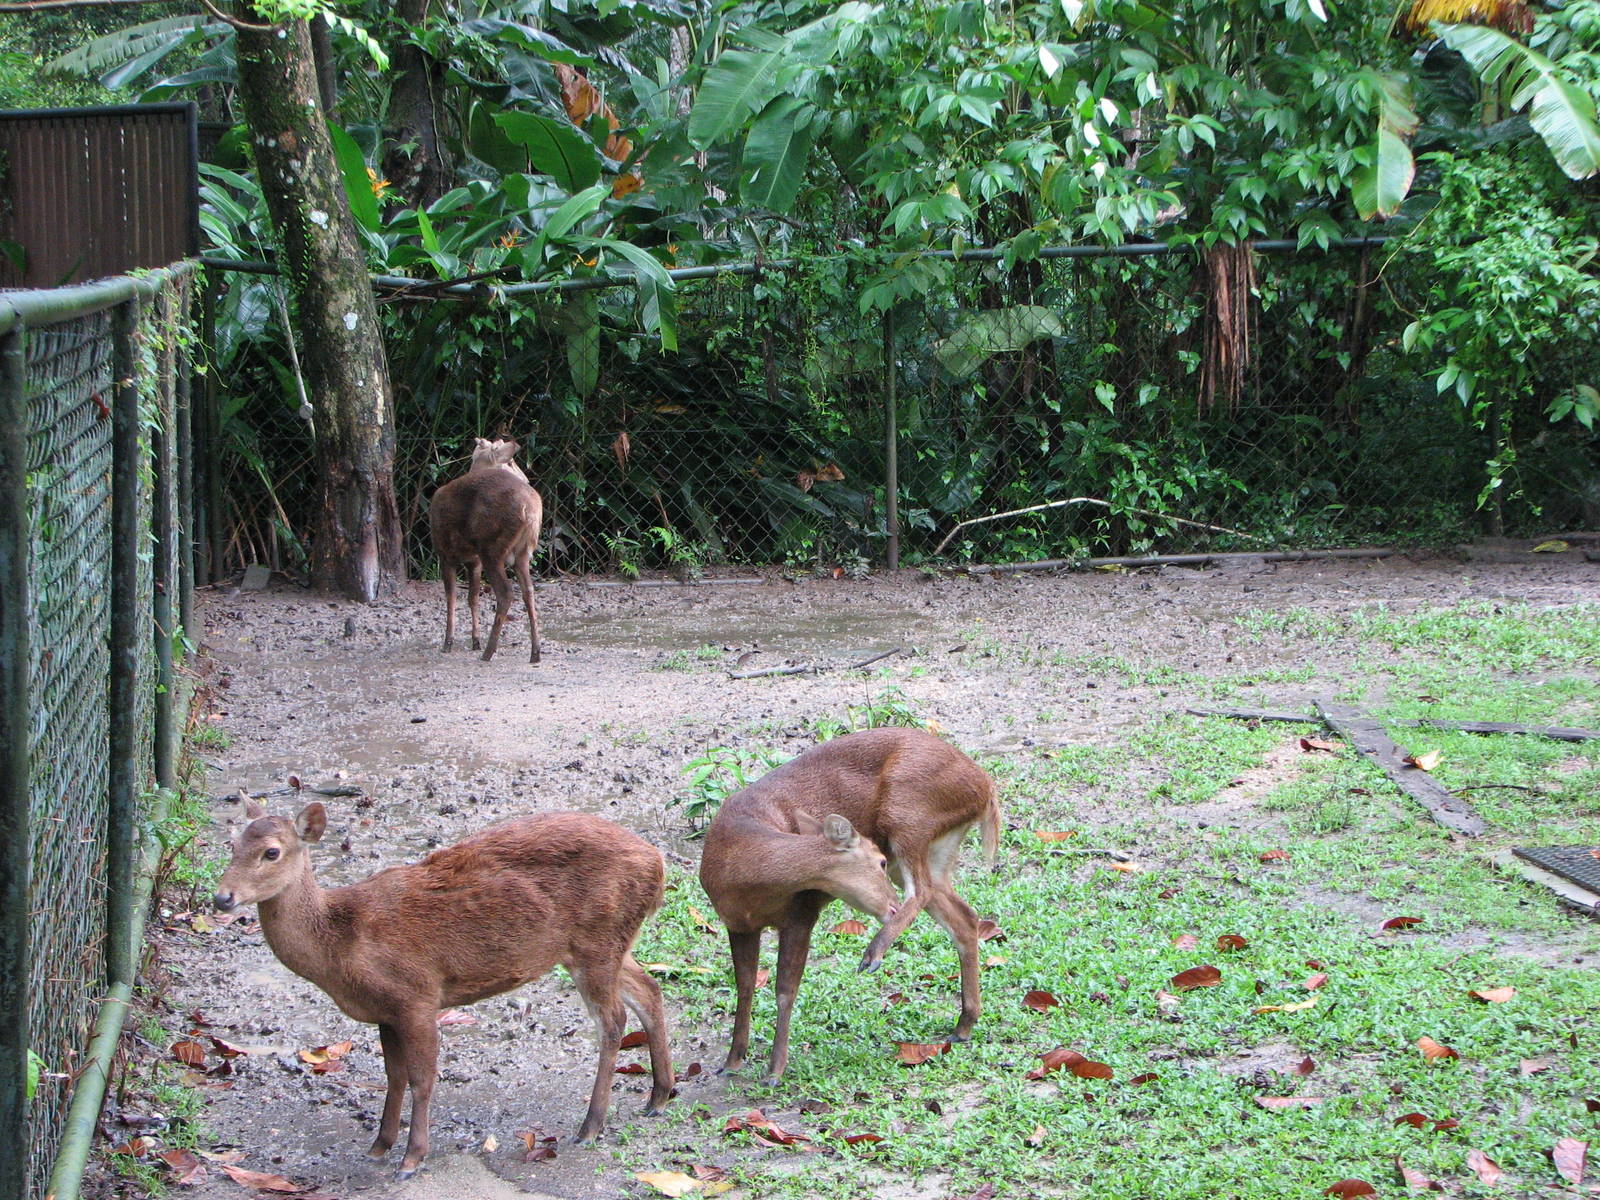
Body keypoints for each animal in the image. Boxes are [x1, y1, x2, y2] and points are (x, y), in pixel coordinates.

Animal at [213, 802, 674, 1179]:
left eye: (272, 851)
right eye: (231, 843)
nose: (222, 897)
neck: (341, 945)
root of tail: (658, 864)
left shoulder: (417, 995)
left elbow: (422, 1079)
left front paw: (412, 1158)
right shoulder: (385, 1011)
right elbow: (394, 1076)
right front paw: (379, 1145)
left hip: (597, 939)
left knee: (612, 1021)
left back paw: (590, 1126)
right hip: (602, 945)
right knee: (650, 989)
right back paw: (659, 1096)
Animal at [429, 437, 542, 663]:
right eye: (510, 462)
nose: (527, 478)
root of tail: (530, 510)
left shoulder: (445, 553)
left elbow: (451, 596)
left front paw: (448, 642)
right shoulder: (474, 560)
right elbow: (472, 597)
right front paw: (474, 640)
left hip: (493, 548)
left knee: (506, 593)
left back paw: (489, 651)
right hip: (522, 552)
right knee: (528, 591)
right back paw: (535, 652)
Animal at [699, 727, 1001, 1081]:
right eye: (878, 861)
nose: (891, 906)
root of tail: (985, 786)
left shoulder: (801, 913)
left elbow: (785, 990)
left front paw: (775, 1070)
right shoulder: (737, 923)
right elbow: (744, 987)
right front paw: (732, 1061)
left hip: (909, 815)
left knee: (923, 890)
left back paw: (873, 953)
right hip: (931, 847)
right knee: (964, 915)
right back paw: (963, 1025)